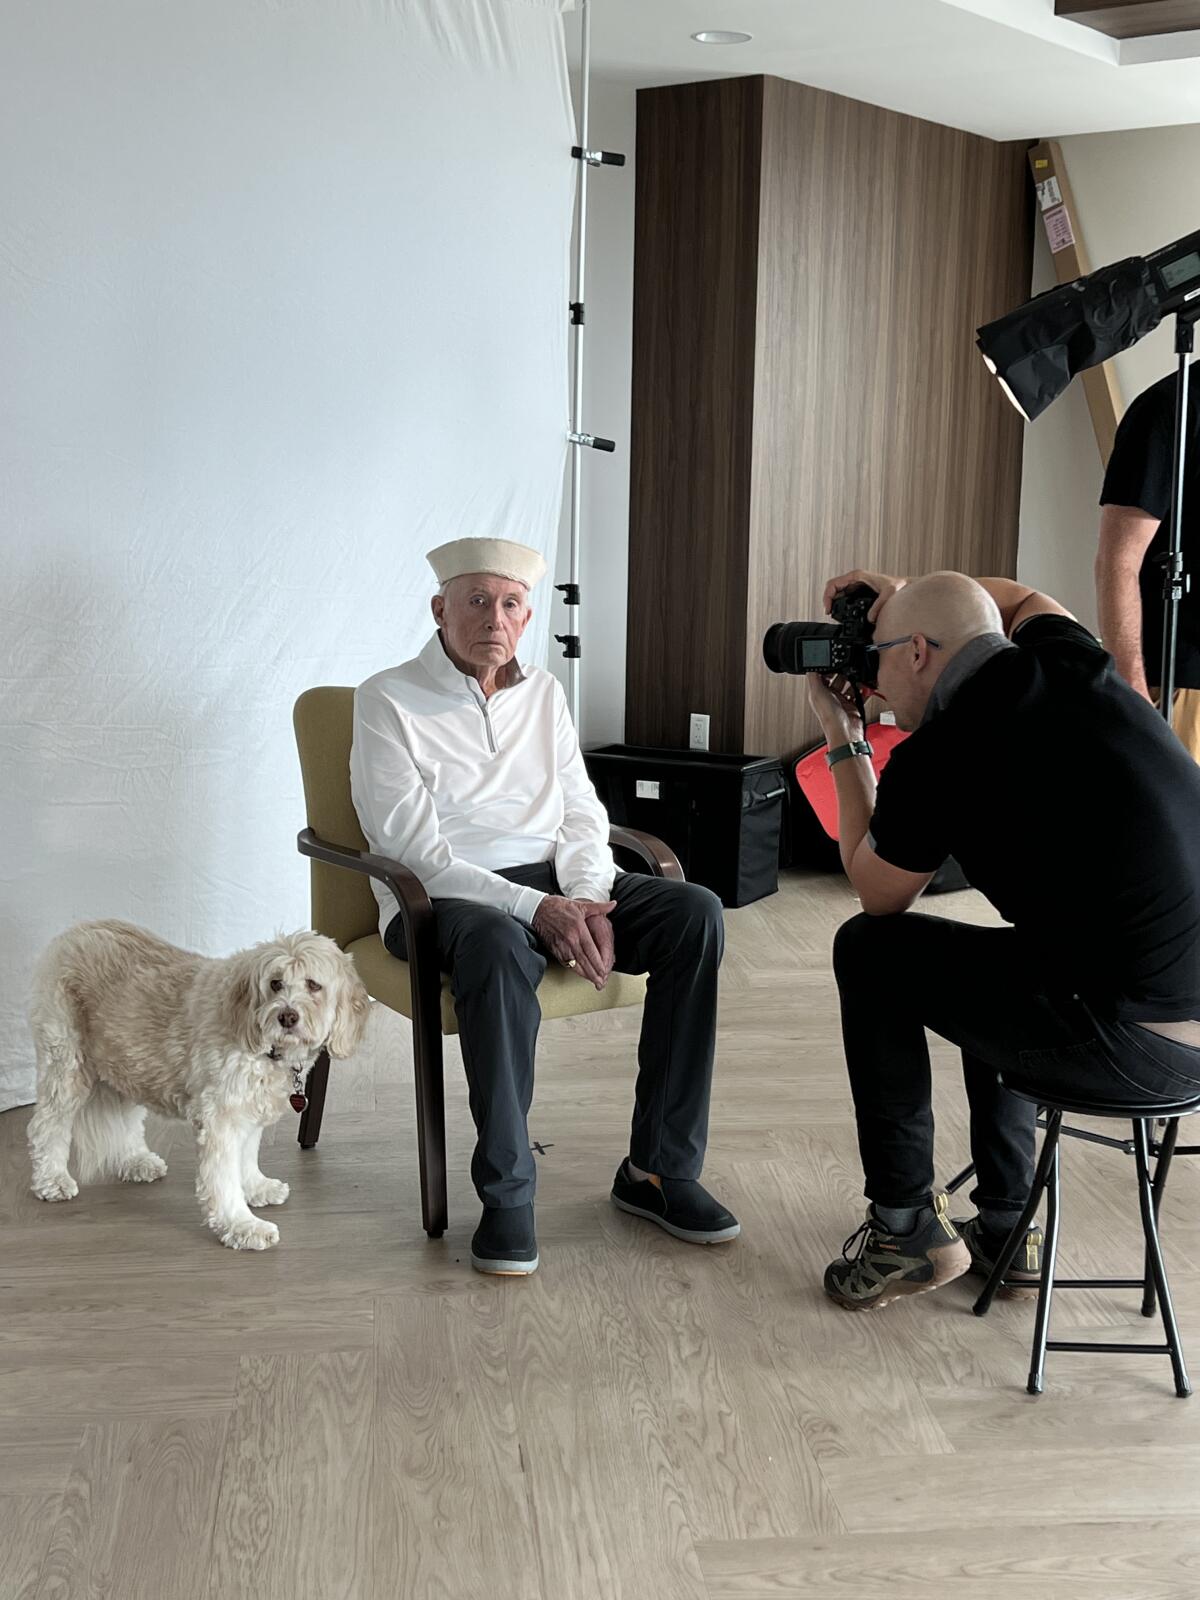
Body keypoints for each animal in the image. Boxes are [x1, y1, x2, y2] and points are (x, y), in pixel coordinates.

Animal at [27, 928, 366, 1248]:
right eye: (275, 984)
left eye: (313, 985)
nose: (287, 1016)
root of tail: (73, 932)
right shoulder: (221, 1117)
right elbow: (224, 1178)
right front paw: (241, 1226)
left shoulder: (248, 1110)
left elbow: (246, 1157)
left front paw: (256, 1187)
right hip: (66, 1062)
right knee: (48, 1125)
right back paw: (52, 1179)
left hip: (125, 1059)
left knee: (122, 1116)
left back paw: (136, 1161)